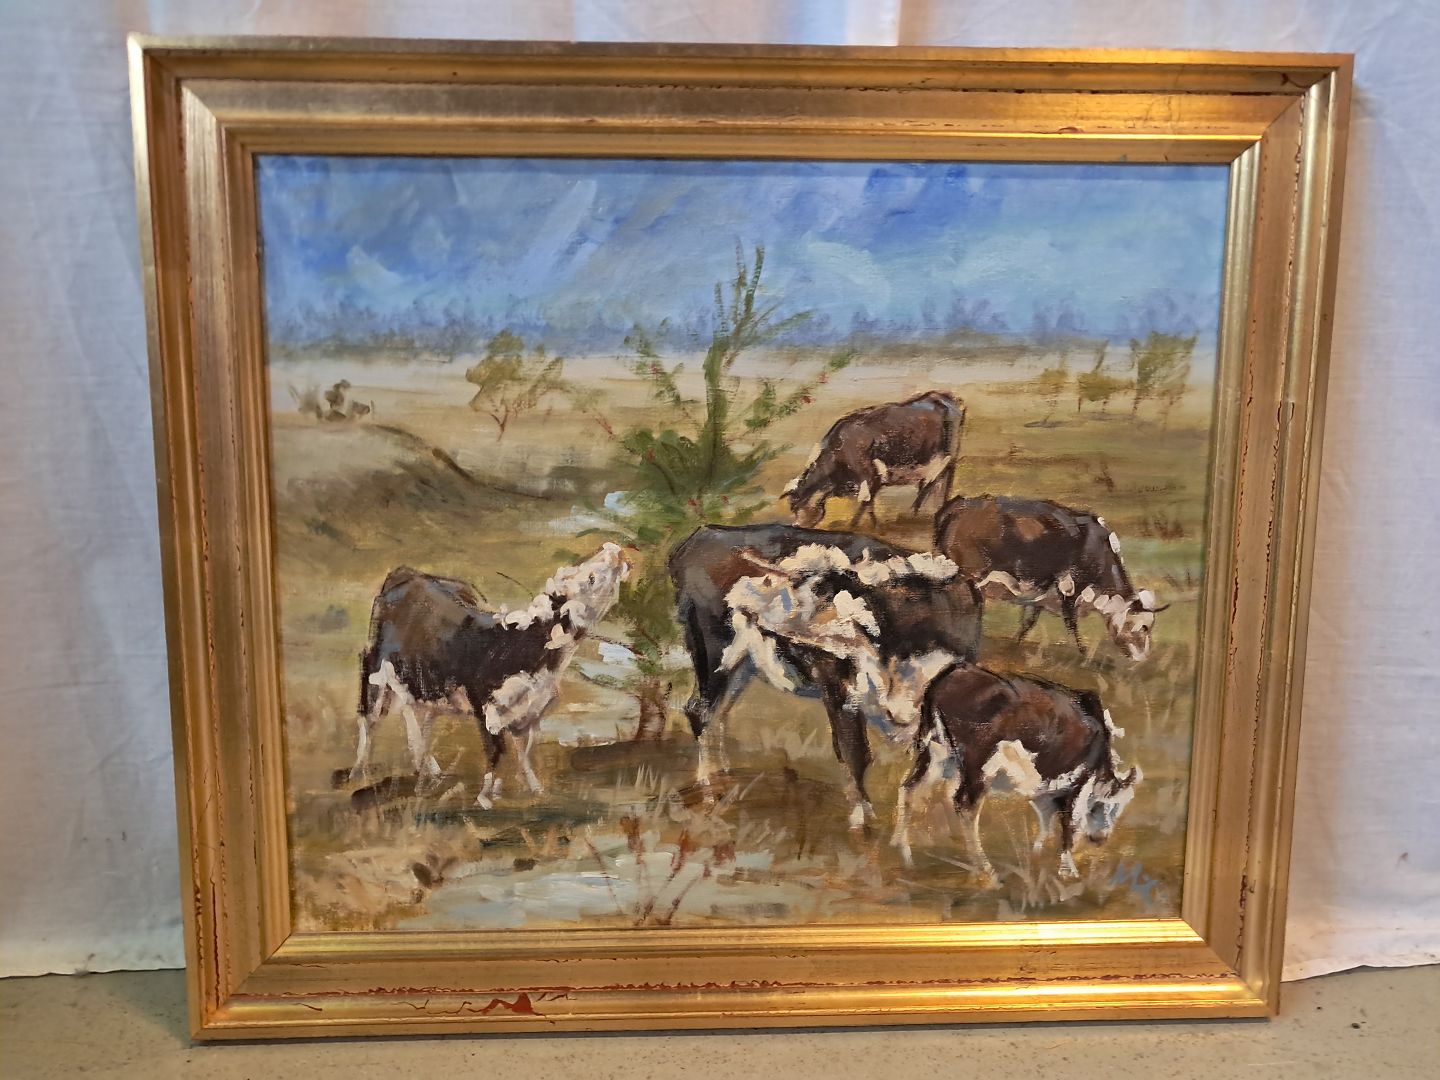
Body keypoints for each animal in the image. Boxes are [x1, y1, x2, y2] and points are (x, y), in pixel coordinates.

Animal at [352, 543, 630, 808]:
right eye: (591, 578)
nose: (616, 550)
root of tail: (409, 573)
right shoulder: (486, 708)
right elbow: (496, 751)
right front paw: (485, 797)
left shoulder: (530, 712)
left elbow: (524, 753)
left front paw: (535, 788)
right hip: (374, 668)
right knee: (370, 717)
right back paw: (359, 770)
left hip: (427, 682)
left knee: (418, 717)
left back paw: (429, 769)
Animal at [668, 523, 982, 827]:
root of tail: (706, 534)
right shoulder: (838, 688)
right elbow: (855, 751)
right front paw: (863, 821)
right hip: (713, 652)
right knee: (700, 711)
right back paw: (709, 789)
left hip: (744, 664)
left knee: (719, 712)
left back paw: (723, 773)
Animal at [783, 391, 964, 528]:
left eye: (795, 506)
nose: (796, 526)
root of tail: (943, 396)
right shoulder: (869, 480)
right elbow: (869, 504)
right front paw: (874, 524)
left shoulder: (869, 476)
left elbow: (865, 502)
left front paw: (855, 526)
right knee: (940, 480)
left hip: (947, 453)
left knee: (936, 479)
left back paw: (914, 511)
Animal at [892, 662, 1142, 881]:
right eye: (1113, 806)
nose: (1101, 839)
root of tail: (956, 671)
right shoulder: (1079, 783)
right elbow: (1069, 825)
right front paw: (1068, 871)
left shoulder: (1048, 785)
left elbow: (1045, 820)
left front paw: (1038, 856)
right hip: (979, 766)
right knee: (965, 806)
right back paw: (986, 870)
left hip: (937, 753)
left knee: (909, 787)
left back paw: (902, 851)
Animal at [934, 495, 1167, 660]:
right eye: (1143, 627)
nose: (1142, 658)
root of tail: (961, 503)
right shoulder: (1071, 587)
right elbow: (1071, 622)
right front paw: (1085, 655)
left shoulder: (1042, 590)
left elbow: (1029, 620)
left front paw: (1015, 644)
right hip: (967, 572)